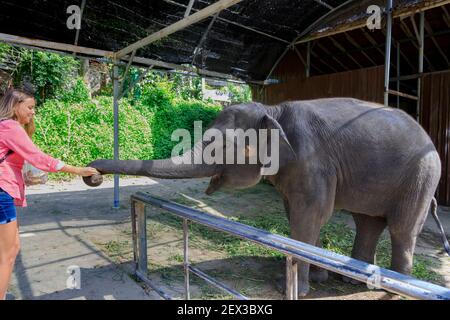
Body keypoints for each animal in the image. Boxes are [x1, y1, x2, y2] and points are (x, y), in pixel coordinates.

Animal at [83, 98, 446, 298]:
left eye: (222, 146)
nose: (92, 174)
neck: (275, 110)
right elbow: (299, 217)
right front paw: (317, 279)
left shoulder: (311, 161)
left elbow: (309, 216)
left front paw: (296, 288)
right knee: (368, 223)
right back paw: (350, 278)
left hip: (421, 176)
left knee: (401, 229)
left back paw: (391, 287)